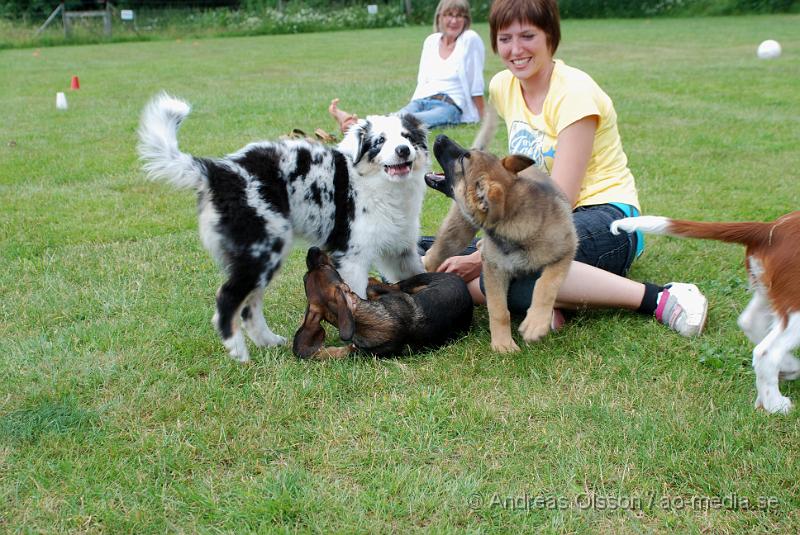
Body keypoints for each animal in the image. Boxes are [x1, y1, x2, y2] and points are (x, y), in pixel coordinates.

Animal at [136, 94, 432, 362]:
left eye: (407, 137)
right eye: (380, 141)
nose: (403, 150)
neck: (377, 185)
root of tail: (219, 171)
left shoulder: (400, 250)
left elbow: (419, 274)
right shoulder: (352, 256)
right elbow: (355, 297)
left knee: (249, 306)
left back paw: (268, 342)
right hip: (262, 249)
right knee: (228, 299)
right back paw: (239, 352)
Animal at [424, 134, 576, 354]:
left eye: (463, 159)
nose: (440, 136)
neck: (514, 214)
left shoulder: (566, 250)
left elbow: (546, 284)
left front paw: (536, 323)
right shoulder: (494, 269)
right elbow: (499, 310)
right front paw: (503, 344)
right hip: (456, 235)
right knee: (430, 258)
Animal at [612, 214, 800, 414]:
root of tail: (771, 230)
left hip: (767, 291)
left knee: (749, 322)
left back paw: (788, 369)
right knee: (766, 351)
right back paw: (776, 404)